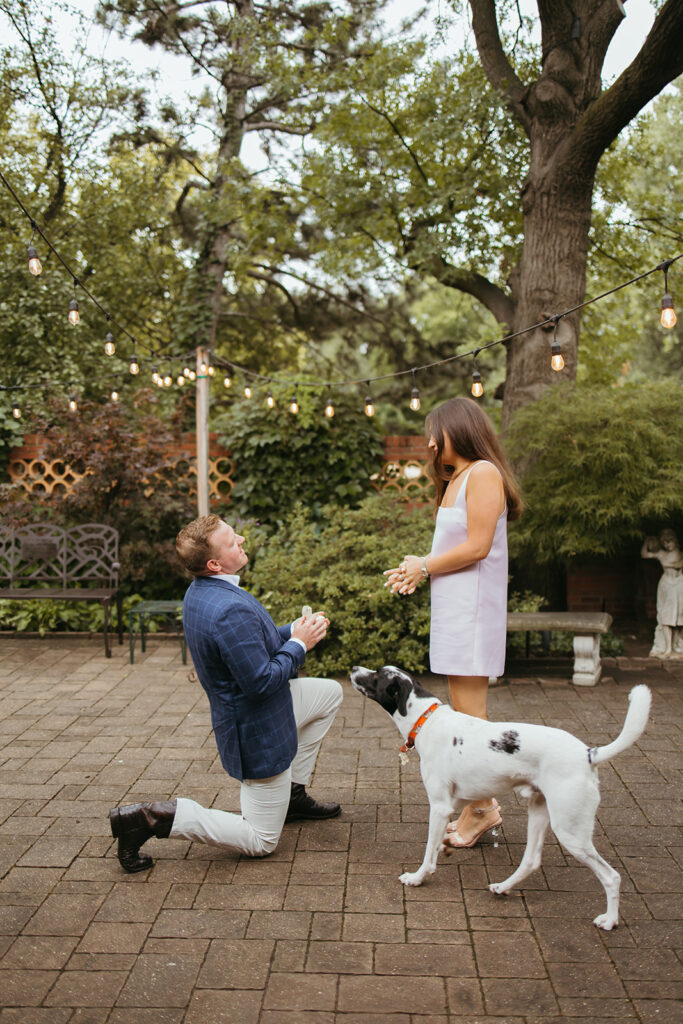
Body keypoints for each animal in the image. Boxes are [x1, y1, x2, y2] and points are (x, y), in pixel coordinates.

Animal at [350, 663, 655, 929]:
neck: (427, 720)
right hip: (540, 813)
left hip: (570, 832)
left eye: (377, 675)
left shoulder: (438, 807)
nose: (353, 668)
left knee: (612, 877)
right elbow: (438, 843)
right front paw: (445, 847)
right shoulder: (456, 801)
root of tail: (588, 754)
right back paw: (503, 886)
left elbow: (427, 852)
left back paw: (610, 920)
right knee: (531, 861)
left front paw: (417, 877)